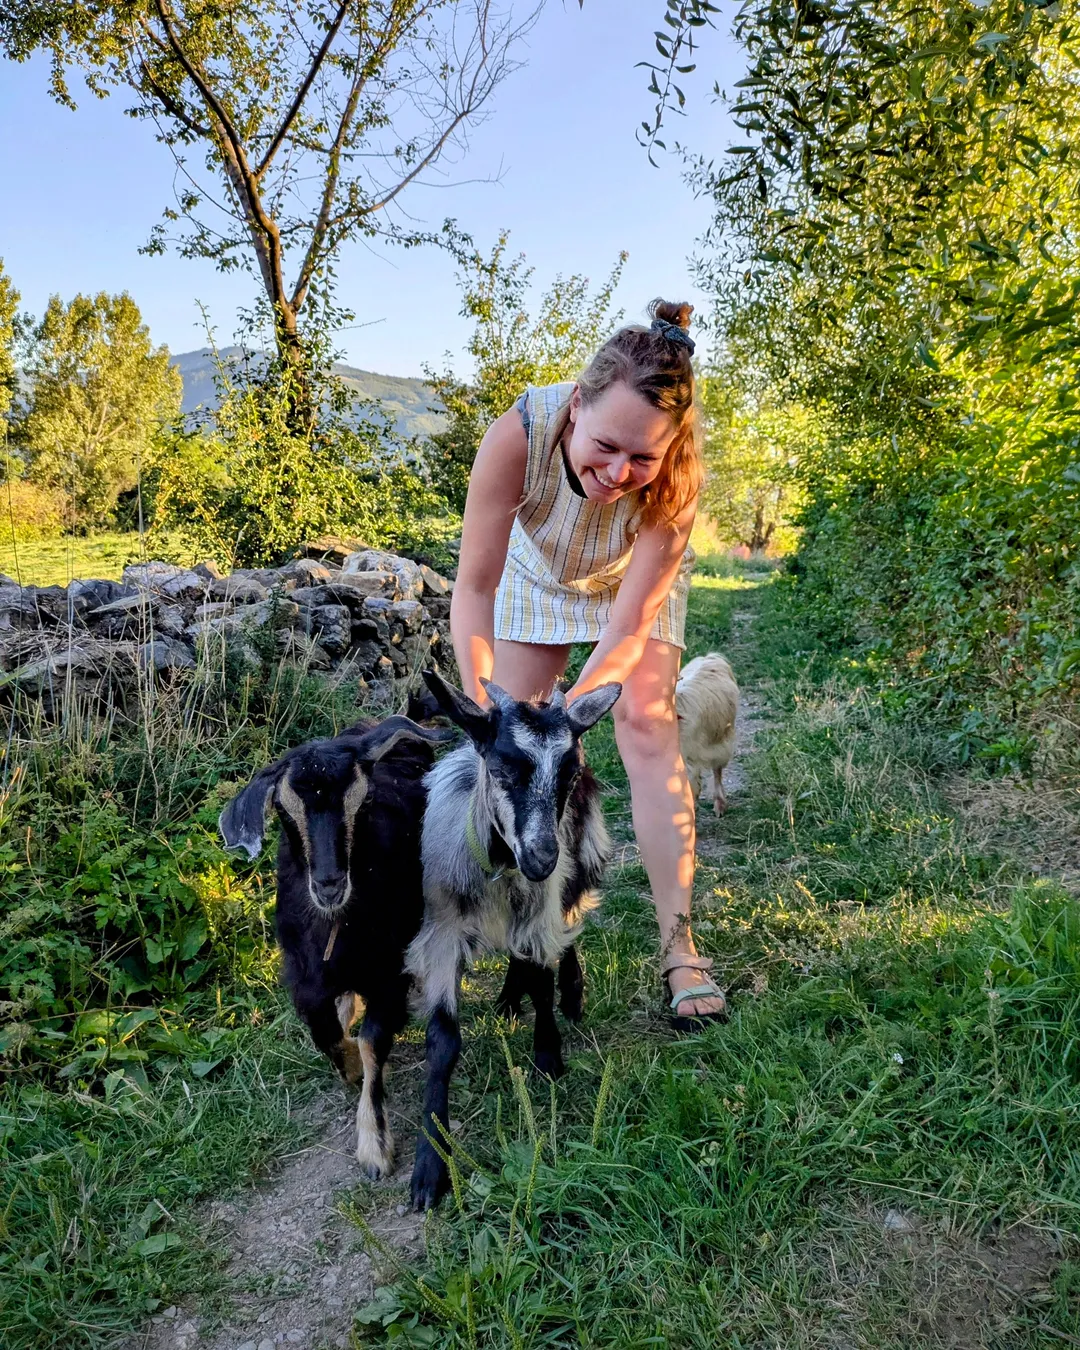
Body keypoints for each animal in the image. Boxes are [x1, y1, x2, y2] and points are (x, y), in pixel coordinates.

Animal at [218, 715, 446, 1180]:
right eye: (283, 811)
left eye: (366, 798)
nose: (329, 883)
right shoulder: (304, 976)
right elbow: (326, 1032)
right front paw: (350, 1067)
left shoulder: (389, 972)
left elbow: (372, 1041)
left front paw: (374, 1147)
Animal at [406, 670, 621, 1211]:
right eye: (503, 767)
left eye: (568, 773)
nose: (542, 856)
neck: (502, 866)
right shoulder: (441, 933)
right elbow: (442, 1040)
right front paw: (430, 1167)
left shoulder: (540, 908)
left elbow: (543, 981)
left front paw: (548, 1056)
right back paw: (507, 999)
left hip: (578, 859)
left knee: (567, 927)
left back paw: (572, 992)